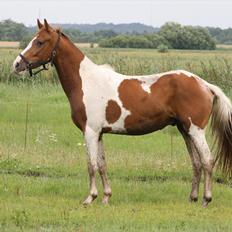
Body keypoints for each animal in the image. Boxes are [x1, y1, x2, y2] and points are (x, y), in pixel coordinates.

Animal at [13, 19, 232, 206]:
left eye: (40, 42)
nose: (17, 64)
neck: (86, 81)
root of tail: (204, 84)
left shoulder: (90, 132)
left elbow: (91, 165)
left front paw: (90, 198)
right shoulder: (99, 133)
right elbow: (102, 165)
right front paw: (105, 197)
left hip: (195, 130)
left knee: (207, 160)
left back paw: (206, 199)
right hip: (184, 130)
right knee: (196, 162)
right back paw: (192, 198)